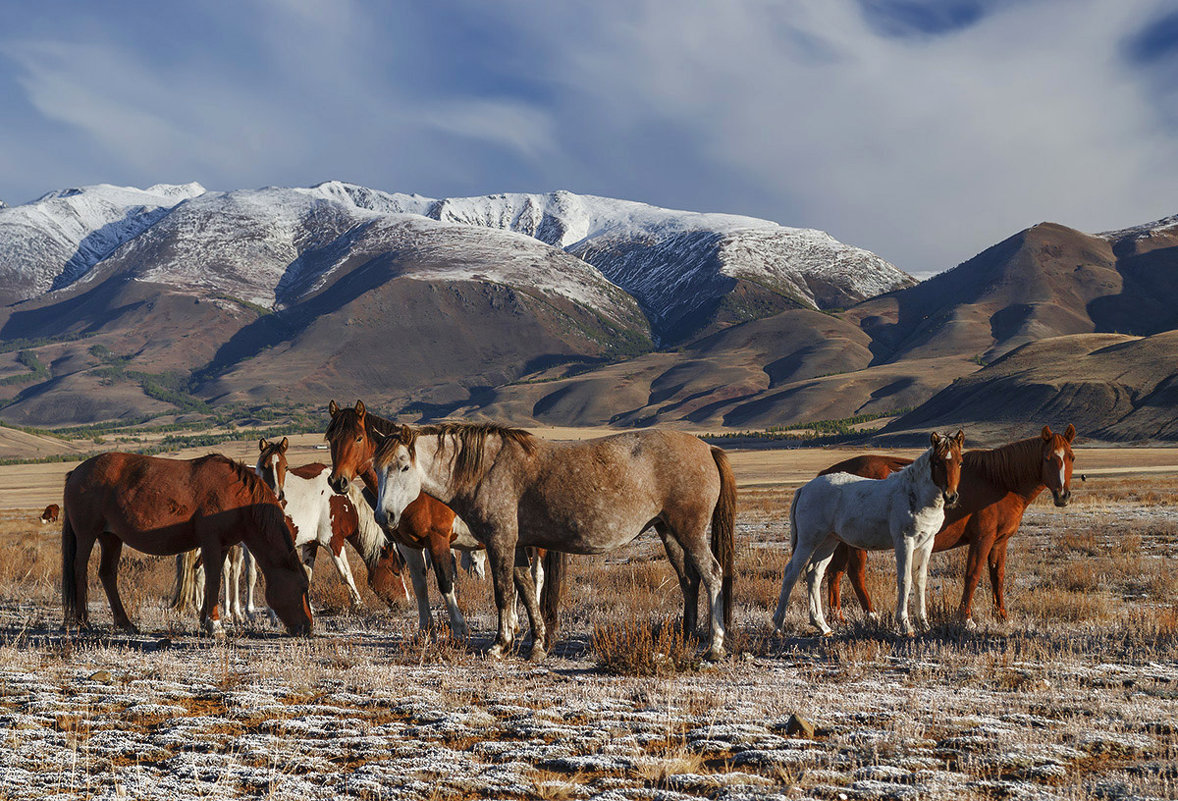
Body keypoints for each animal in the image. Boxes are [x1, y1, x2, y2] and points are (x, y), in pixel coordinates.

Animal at [60, 449, 313, 631]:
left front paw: (205, 620)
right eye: (302, 587)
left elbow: (212, 580)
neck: (237, 498)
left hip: (111, 537)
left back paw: (125, 623)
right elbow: (214, 579)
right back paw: (83, 622)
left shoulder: (222, 546)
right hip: (87, 535)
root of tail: (76, 472)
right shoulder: (211, 543)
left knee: (107, 574)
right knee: (79, 569)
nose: (308, 628)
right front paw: (215, 625)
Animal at [819, 421, 1079, 626]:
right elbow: (973, 574)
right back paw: (871, 615)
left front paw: (1002, 616)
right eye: (1047, 458)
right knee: (855, 573)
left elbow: (998, 576)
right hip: (856, 544)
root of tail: (829, 472)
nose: (1063, 495)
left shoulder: (999, 541)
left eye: (1071, 457)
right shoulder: (982, 539)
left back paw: (838, 617)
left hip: (841, 542)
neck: (999, 481)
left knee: (835, 573)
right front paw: (966, 618)